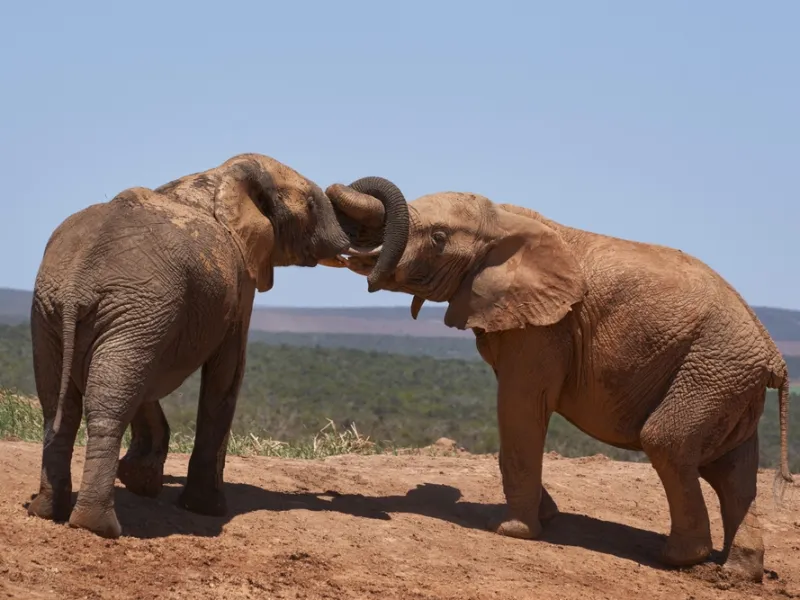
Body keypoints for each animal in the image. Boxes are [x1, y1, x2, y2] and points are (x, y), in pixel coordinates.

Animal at [26, 154, 408, 539]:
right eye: (312, 205)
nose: (371, 279)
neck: (225, 175)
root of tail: (78, 282)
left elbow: (148, 383)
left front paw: (140, 481)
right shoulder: (241, 279)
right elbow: (227, 371)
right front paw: (205, 508)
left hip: (53, 313)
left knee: (60, 405)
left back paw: (46, 511)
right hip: (126, 309)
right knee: (108, 403)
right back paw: (98, 526)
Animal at [325, 178, 793, 582]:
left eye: (439, 238)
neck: (505, 221)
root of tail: (775, 359)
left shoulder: (547, 326)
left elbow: (521, 405)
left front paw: (511, 530)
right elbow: (520, 412)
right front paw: (544, 517)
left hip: (713, 370)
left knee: (668, 443)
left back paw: (680, 559)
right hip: (729, 382)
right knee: (732, 472)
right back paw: (738, 572)